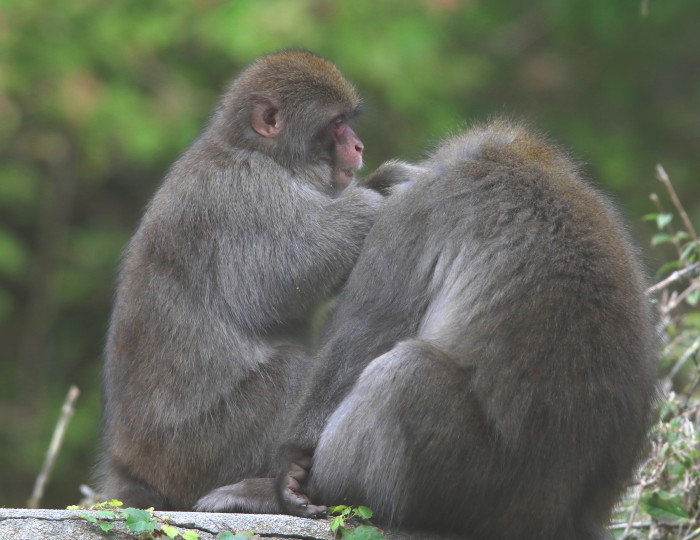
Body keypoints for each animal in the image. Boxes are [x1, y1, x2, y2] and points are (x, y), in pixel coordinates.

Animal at [95, 49, 386, 510]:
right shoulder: (246, 193)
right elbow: (275, 284)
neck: (256, 151)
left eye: (349, 122)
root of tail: (131, 469)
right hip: (199, 451)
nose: (358, 146)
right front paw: (373, 199)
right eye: (337, 123)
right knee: (289, 372)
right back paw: (268, 488)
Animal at [272, 119, 656, 540]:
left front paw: (291, 463)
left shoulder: (419, 209)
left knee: (405, 373)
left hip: (481, 487)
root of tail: (562, 518)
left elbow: (365, 333)